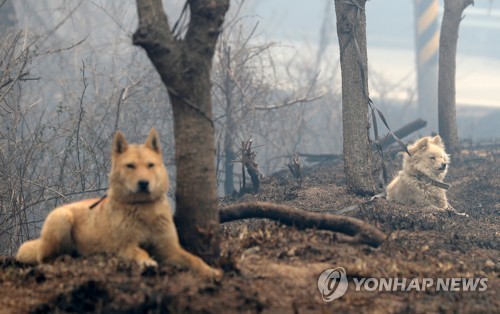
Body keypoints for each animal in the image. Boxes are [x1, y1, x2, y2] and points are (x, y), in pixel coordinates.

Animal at [16, 129, 223, 278]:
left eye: (150, 165)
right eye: (130, 166)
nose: (143, 183)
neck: (143, 208)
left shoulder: (169, 249)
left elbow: (194, 260)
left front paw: (212, 271)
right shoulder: (124, 246)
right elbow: (140, 252)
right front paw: (147, 261)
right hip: (62, 218)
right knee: (45, 257)